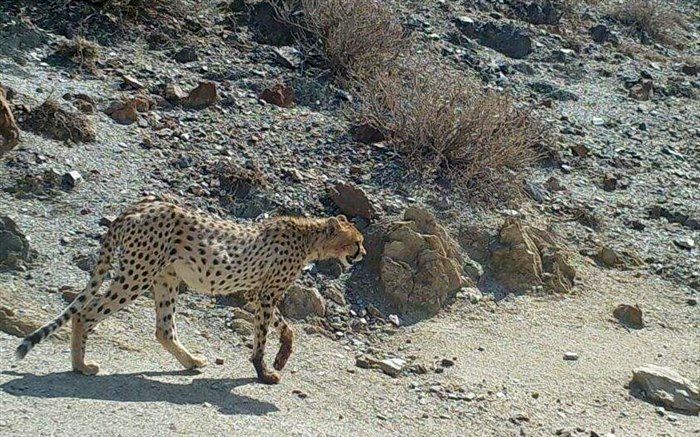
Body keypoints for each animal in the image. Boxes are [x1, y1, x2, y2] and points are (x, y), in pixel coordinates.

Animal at [16, 196, 366, 384]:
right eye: (357, 240)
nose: (362, 253)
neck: (310, 239)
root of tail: (134, 207)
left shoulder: (257, 293)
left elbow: (284, 327)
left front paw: (281, 358)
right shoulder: (265, 294)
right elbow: (262, 336)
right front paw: (263, 371)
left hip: (165, 279)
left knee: (163, 330)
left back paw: (190, 361)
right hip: (137, 274)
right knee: (86, 314)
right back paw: (81, 366)